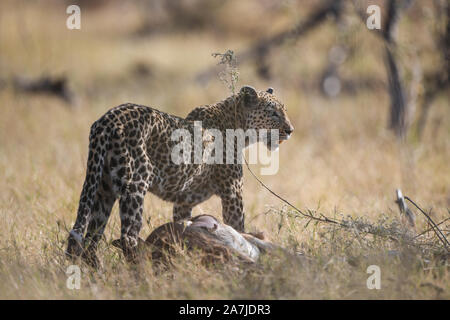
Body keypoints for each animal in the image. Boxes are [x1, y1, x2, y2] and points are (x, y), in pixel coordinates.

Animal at [65, 84, 294, 264]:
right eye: (273, 113)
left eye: (284, 111)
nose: (290, 130)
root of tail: (106, 121)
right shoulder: (232, 193)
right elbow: (238, 226)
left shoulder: (184, 201)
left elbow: (181, 225)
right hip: (135, 185)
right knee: (128, 236)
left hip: (102, 188)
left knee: (90, 237)